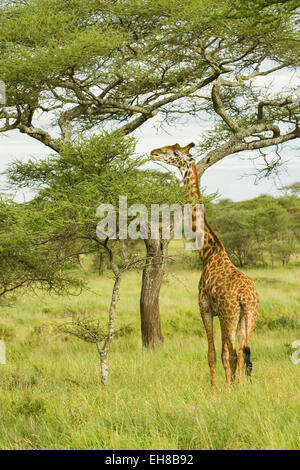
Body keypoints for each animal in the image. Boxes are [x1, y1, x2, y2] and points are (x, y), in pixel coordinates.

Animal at [151, 142, 258, 386]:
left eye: (174, 152)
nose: (153, 152)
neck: (208, 253)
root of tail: (245, 297)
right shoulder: (222, 313)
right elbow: (224, 354)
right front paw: (228, 386)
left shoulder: (205, 307)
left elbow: (213, 354)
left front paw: (215, 389)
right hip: (249, 317)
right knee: (244, 352)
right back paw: (242, 386)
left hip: (230, 316)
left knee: (233, 352)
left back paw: (232, 388)